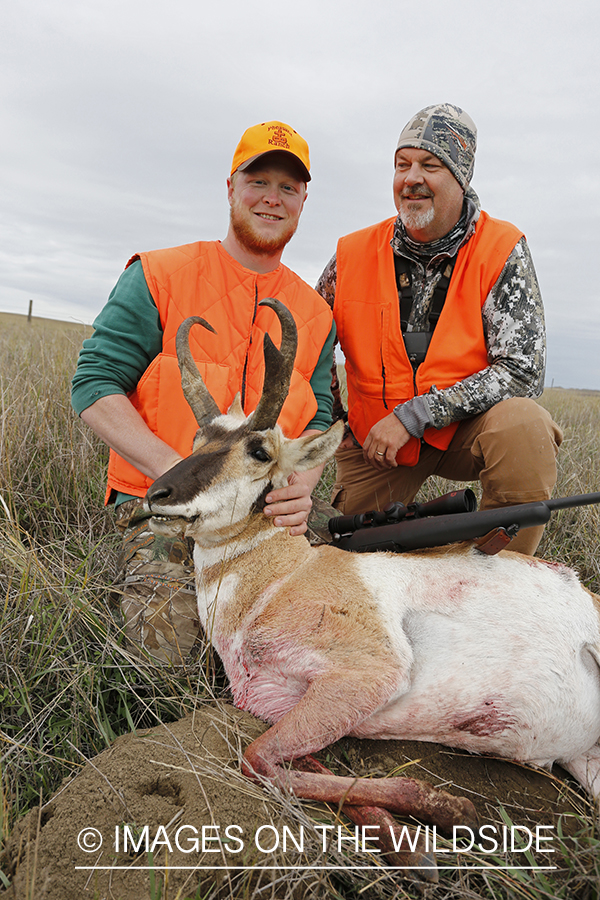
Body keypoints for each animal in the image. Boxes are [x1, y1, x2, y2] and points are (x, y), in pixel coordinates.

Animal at [146, 298, 600, 879]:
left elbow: (255, 759)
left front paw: (450, 814)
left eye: (259, 450)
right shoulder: (283, 705)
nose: (159, 494)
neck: (284, 577)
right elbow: (276, 759)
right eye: (197, 439)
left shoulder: (367, 677)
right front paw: (409, 841)